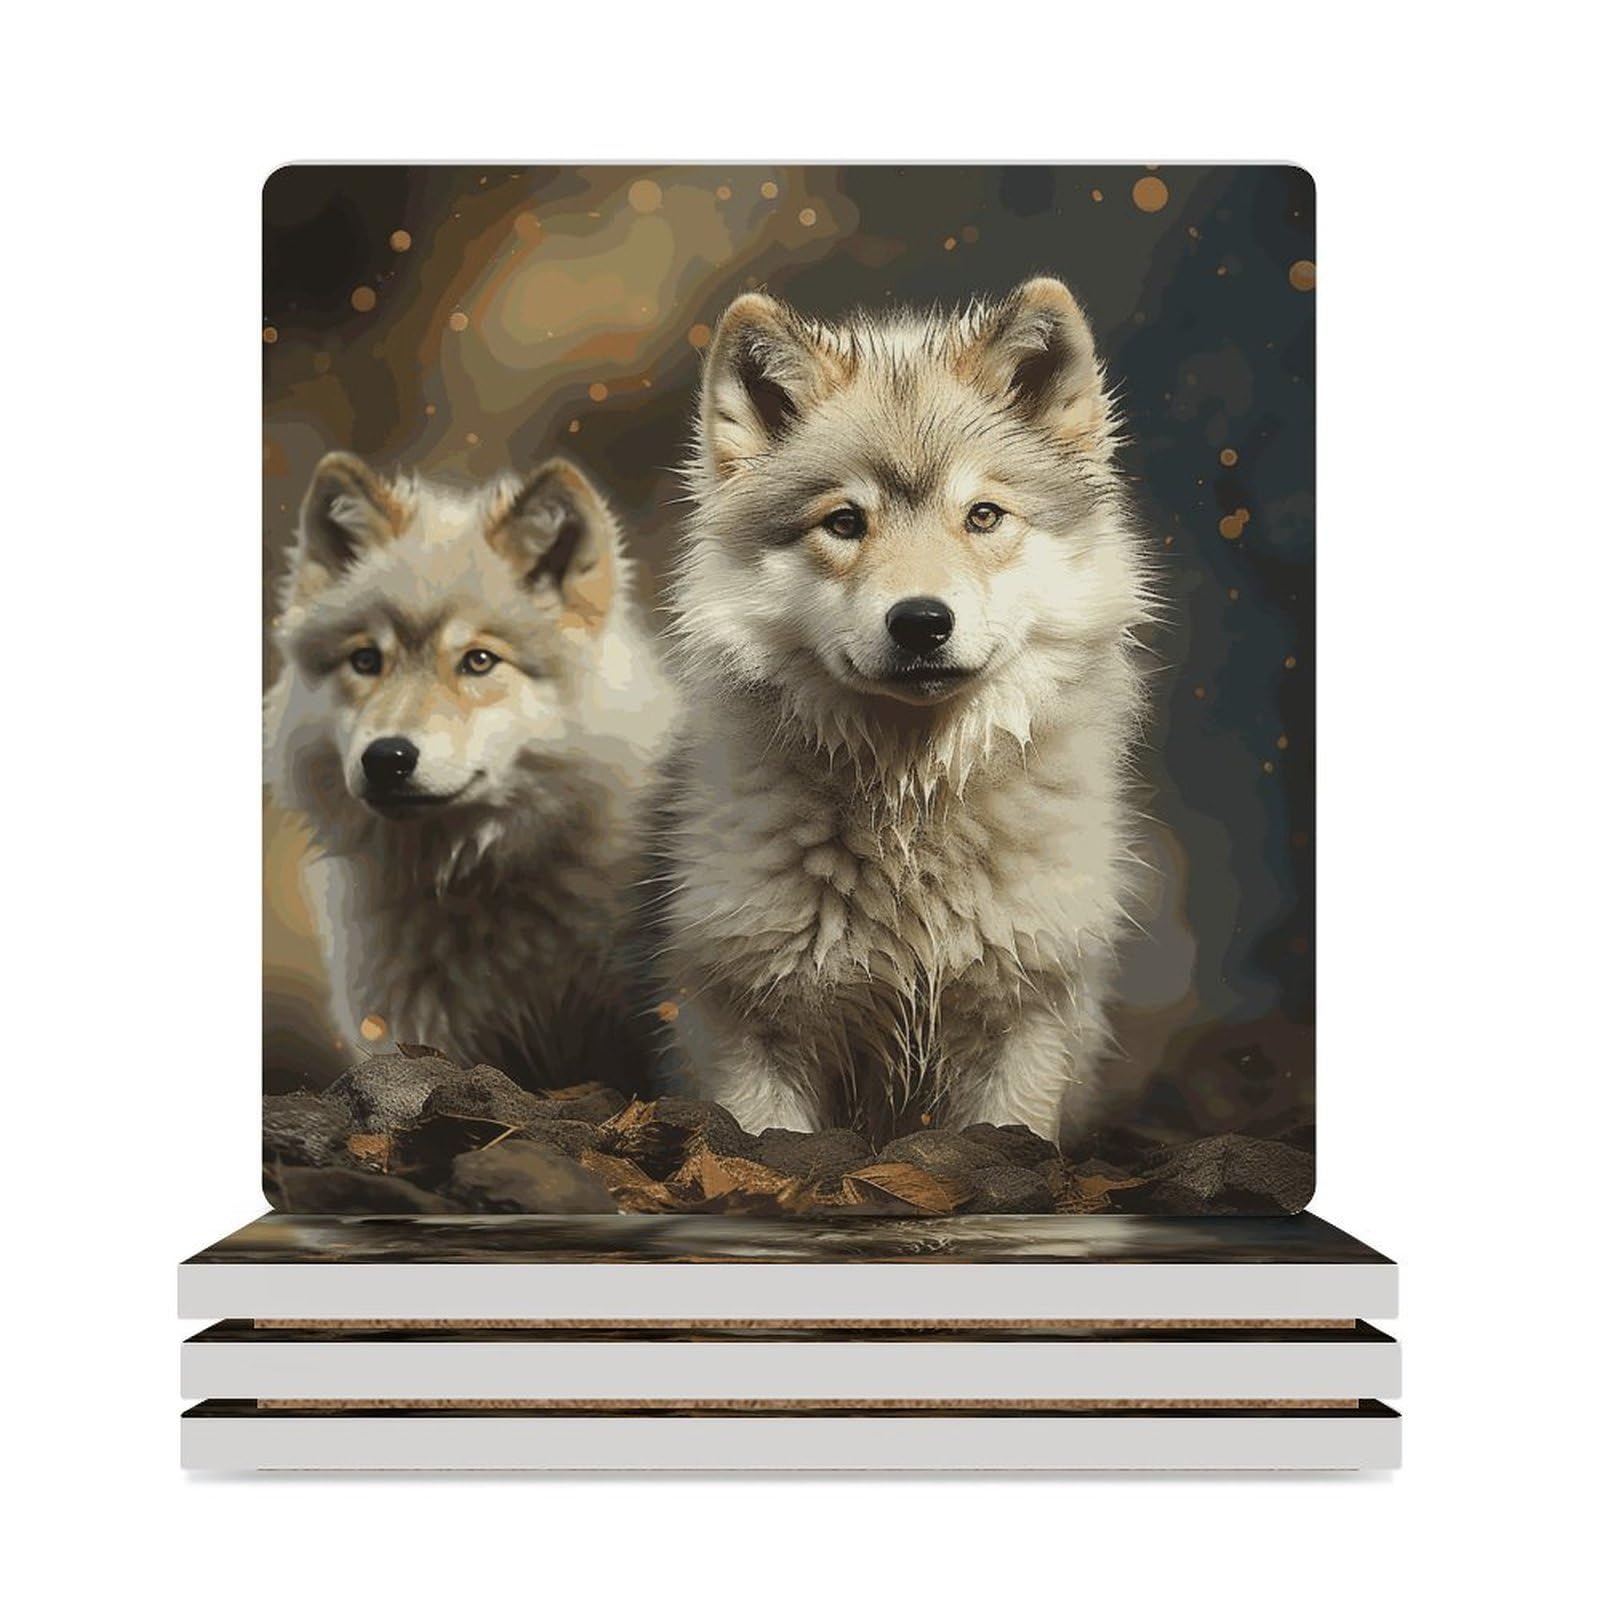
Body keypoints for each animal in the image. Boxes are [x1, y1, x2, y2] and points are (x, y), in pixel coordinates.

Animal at [665, 277, 1154, 1143]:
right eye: (844, 522)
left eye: (983, 515)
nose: (921, 622)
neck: (912, 817)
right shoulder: (755, 1029)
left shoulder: (1026, 1024)